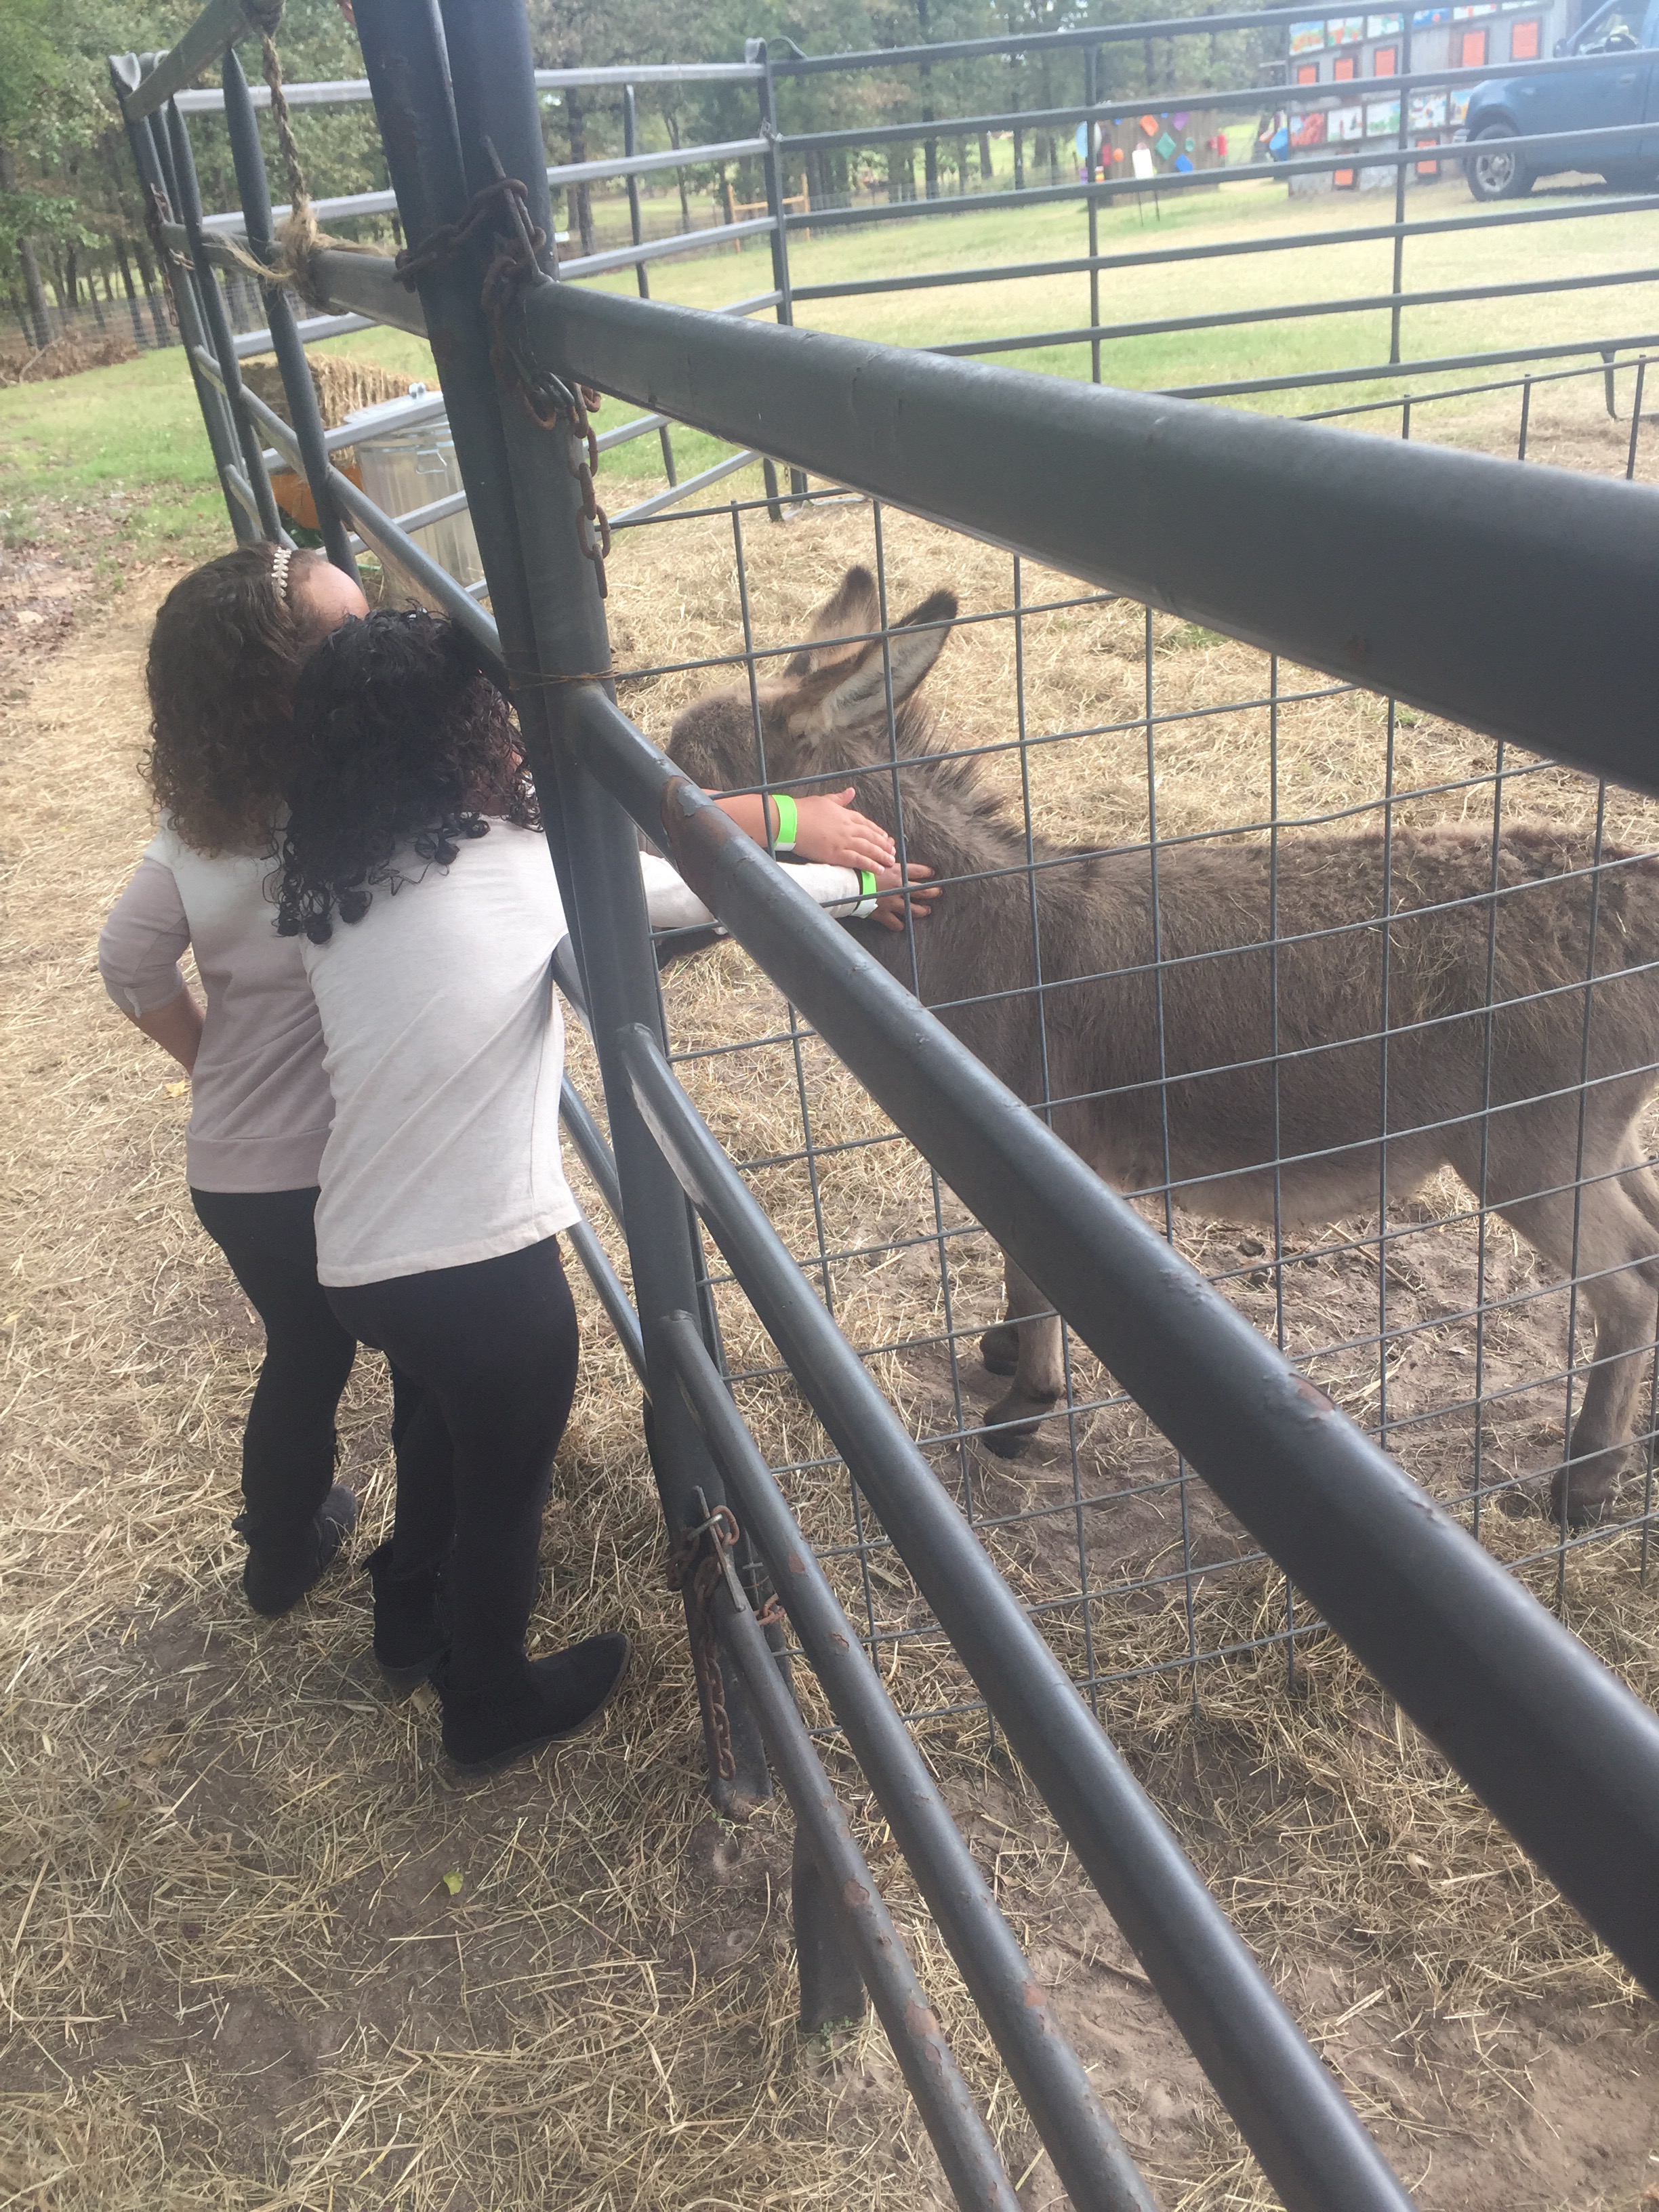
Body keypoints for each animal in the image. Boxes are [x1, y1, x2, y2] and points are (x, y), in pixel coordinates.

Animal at [666, 565, 1659, 1527]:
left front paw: (1024, 1408)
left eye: (697, 789)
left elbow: (1035, 1283)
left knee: (1626, 1289)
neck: (989, 936)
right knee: (1650, 1253)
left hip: (1527, 1153)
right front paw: (1005, 1352)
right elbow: (1020, 1284)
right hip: (1601, 1140)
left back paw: (1585, 1483)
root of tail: (1629, 895)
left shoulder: (1041, 1152)